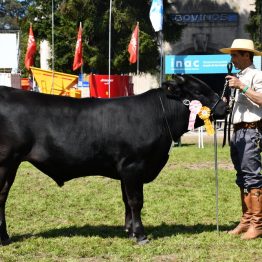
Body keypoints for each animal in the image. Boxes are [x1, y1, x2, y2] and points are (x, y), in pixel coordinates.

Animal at [0, 74, 227, 245]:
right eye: (198, 92)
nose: (224, 107)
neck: (158, 117)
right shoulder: (133, 166)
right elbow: (136, 201)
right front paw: (140, 235)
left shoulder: (126, 170)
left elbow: (126, 200)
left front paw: (129, 230)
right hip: (6, 162)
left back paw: (5, 237)